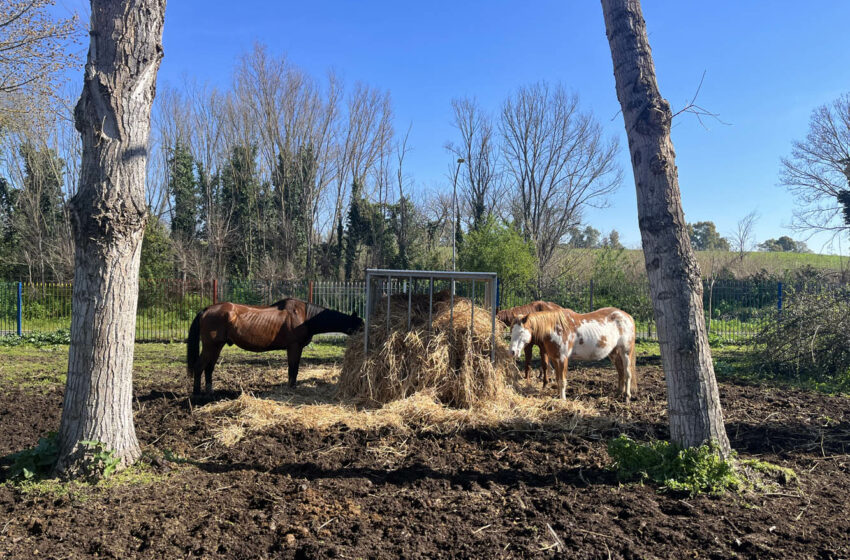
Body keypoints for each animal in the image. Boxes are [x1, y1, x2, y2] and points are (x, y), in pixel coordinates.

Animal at [186, 298, 362, 394]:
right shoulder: (294, 347)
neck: (306, 317)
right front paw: (291, 388)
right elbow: (293, 369)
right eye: (360, 324)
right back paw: (197, 394)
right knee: (199, 367)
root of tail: (206, 310)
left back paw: (210, 392)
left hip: (217, 347)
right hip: (210, 346)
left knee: (209, 368)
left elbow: (294, 369)